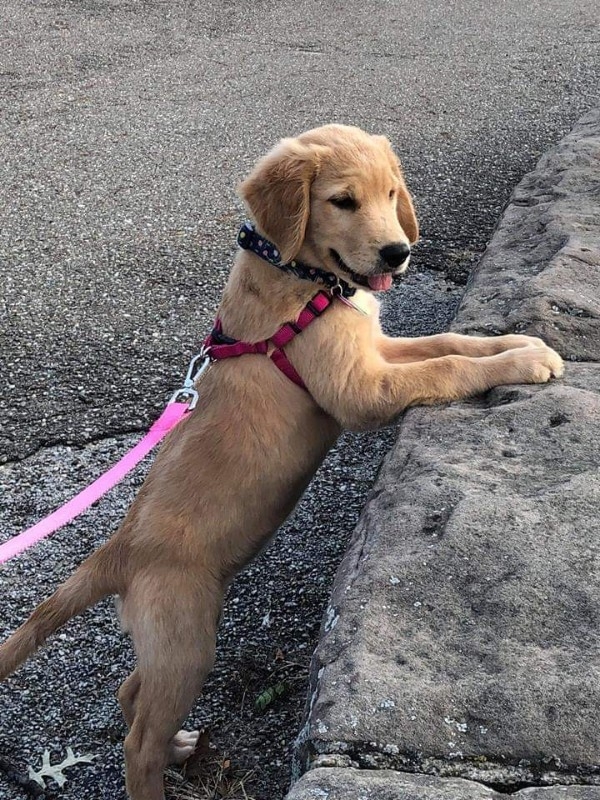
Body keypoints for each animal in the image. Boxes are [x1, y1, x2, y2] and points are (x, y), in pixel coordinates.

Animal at [0, 125, 564, 800]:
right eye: (343, 201)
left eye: (391, 193)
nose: (398, 253)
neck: (305, 276)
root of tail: (118, 549)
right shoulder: (362, 391)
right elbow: (447, 366)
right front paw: (525, 362)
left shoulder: (376, 349)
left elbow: (450, 343)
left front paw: (518, 342)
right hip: (187, 639)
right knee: (137, 743)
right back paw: (158, 765)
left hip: (168, 641)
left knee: (131, 693)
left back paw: (180, 745)